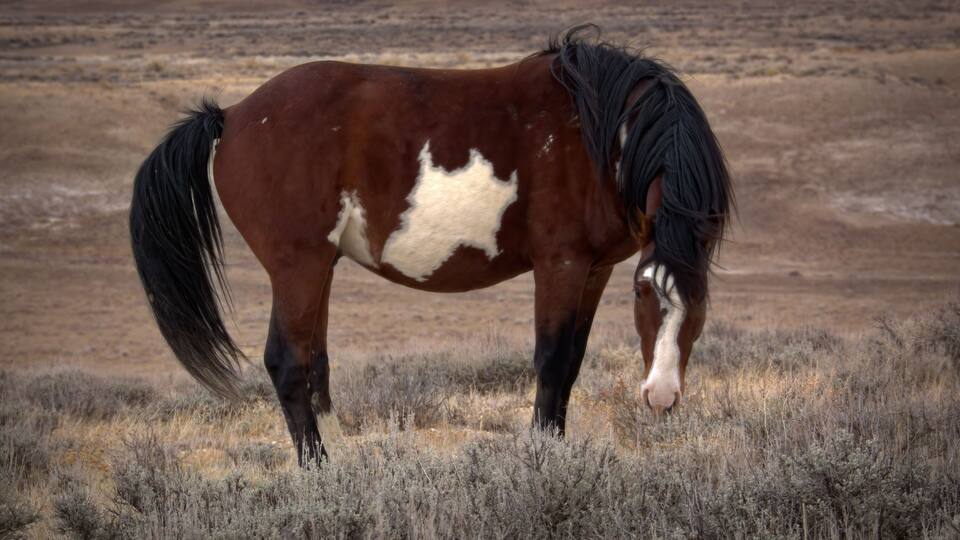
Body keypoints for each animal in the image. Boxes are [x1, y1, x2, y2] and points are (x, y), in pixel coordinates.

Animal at [129, 26, 733, 465]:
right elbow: (553, 359)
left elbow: (573, 363)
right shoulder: (560, 264)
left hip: (320, 269)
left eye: (699, 304)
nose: (661, 397)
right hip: (296, 267)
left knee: (313, 363)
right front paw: (543, 458)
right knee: (286, 361)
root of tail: (231, 116)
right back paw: (317, 470)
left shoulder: (594, 270)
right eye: (645, 293)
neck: (598, 134)